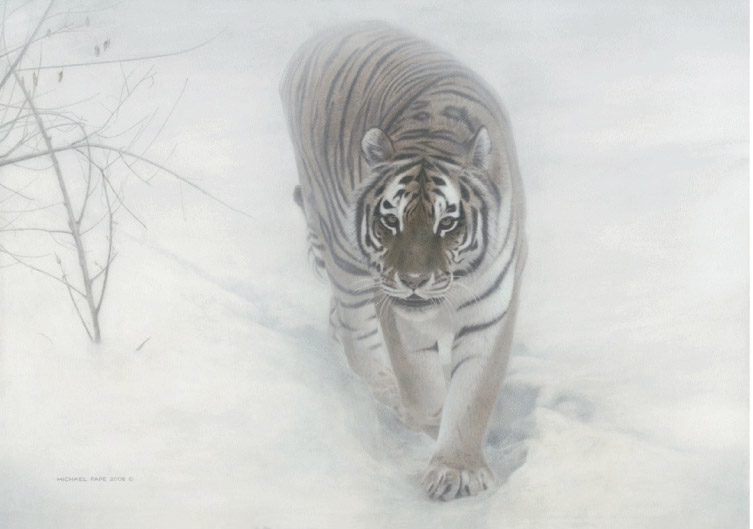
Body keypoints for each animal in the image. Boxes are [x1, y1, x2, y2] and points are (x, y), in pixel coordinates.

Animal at [280, 22, 526, 501]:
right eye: (390, 219)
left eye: (448, 222)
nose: (413, 279)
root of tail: (320, 36)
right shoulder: (396, 308)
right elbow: (423, 386)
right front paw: (428, 427)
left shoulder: (491, 312)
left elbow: (473, 394)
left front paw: (458, 471)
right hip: (343, 254)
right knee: (356, 334)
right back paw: (384, 389)